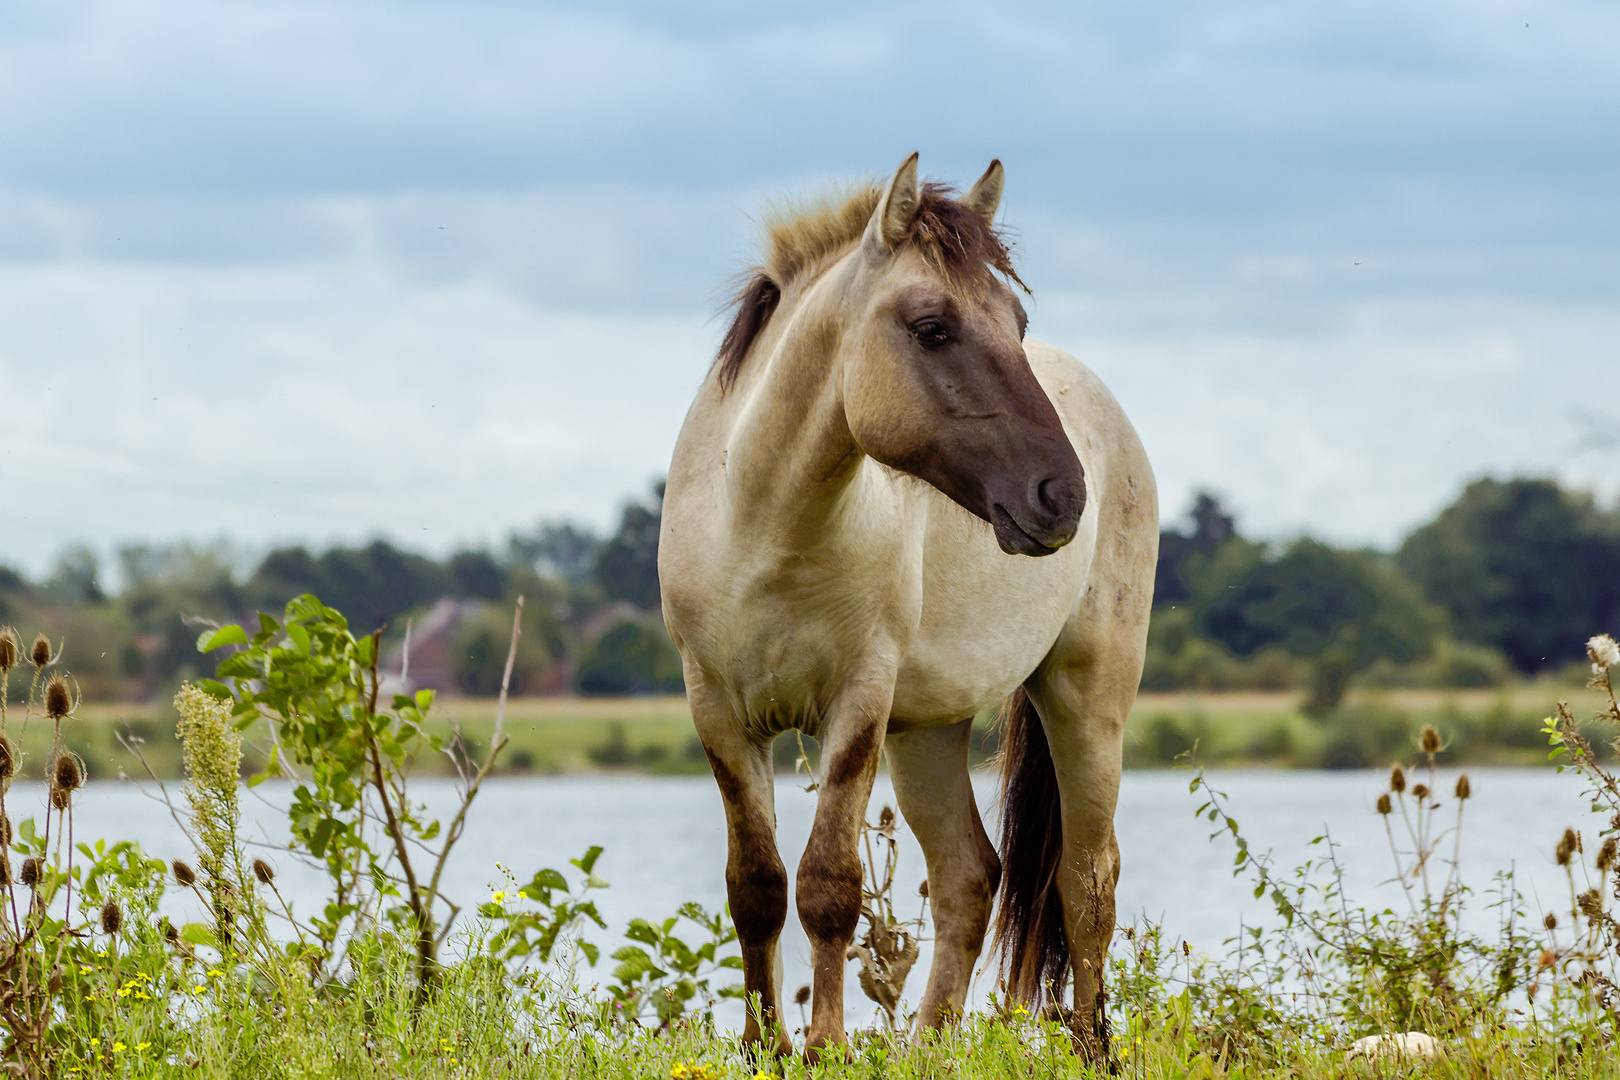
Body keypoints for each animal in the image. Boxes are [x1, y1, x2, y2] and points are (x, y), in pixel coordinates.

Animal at [660, 152, 1166, 1055]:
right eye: (932, 327)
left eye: (1016, 322)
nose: (1062, 496)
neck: (763, 530)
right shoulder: (717, 710)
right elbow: (756, 887)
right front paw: (765, 1047)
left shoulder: (857, 703)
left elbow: (828, 885)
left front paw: (823, 1047)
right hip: (928, 729)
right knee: (971, 875)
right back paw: (931, 1044)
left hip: (1086, 697)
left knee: (1086, 883)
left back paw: (1094, 1049)